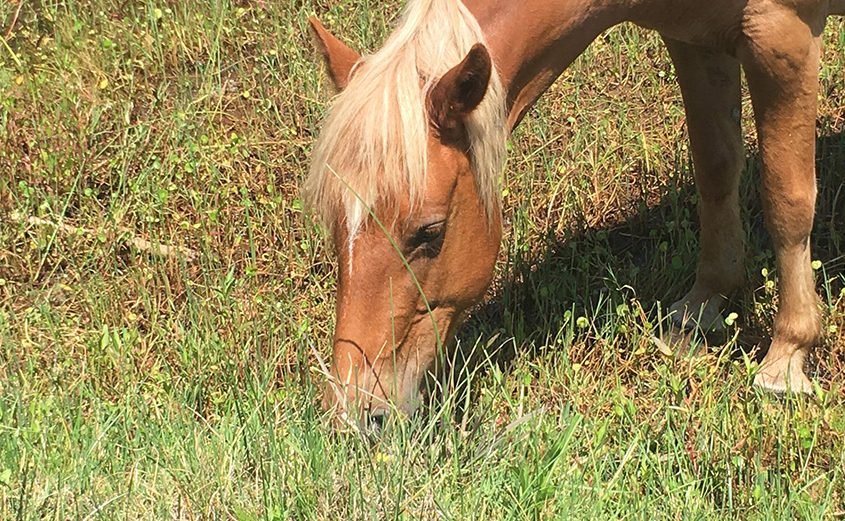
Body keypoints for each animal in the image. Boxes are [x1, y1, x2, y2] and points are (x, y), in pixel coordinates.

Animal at [306, 0, 845, 423]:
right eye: (335, 227)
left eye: (430, 232)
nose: (353, 412)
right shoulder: (694, 37)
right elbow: (716, 167)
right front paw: (703, 307)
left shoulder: (783, 36)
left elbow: (787, 199)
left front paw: (787, 356)